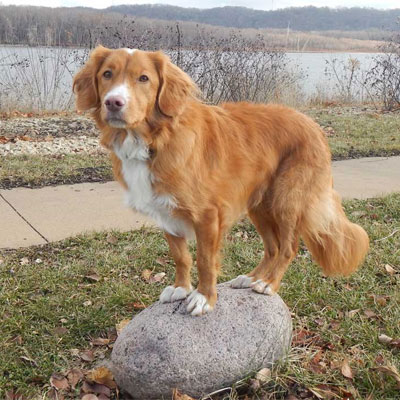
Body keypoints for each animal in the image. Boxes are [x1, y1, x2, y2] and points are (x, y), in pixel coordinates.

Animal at [73, 46, 369, 316]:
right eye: (107, 74)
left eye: (143, 78)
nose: (113, 102)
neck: (156, 140)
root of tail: (314, 125)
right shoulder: (165, 211)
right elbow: (180, 257)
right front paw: (181, 288)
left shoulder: (207, 215)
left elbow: (204, 260)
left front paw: (204, 297)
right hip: (258, 205)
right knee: (272, 248)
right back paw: (252, 278)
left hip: (287, 201)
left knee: (288, 248)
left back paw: (268, 284)